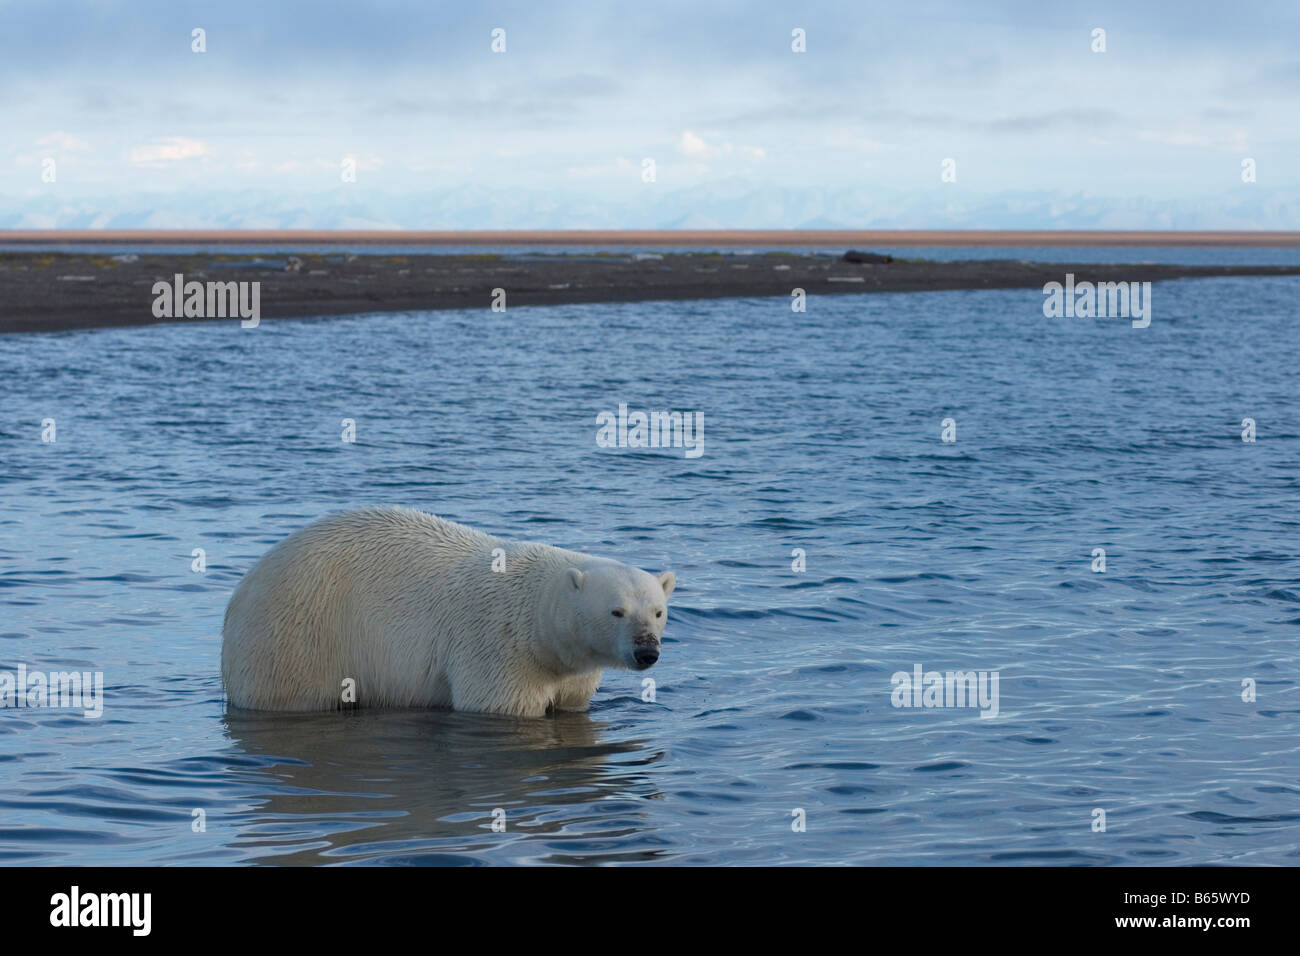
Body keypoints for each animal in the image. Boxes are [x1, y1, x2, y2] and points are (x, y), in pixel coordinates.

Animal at [218, 509, 676, 717]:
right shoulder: (497, 648)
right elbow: (499, 705)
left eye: (657, 612)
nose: (647, 651)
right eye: (617, 611)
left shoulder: (572, 671)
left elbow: (571, 702)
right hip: (298, 632)